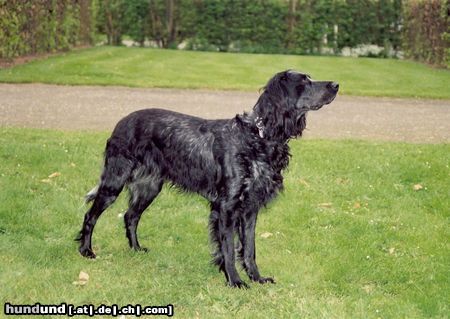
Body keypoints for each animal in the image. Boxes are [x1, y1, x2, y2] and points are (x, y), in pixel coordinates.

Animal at [77, 70, 338, 290]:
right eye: (304, 81)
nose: (336, 84)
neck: (258, 137)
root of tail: (121, 122)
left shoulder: (250, 208)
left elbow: (249, 249)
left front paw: (257, 278)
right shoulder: (226, 207)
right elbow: (229, 249)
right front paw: (235, 281)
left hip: (149, 186)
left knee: (130, 216)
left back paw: (136, 249)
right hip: (114, 181)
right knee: (91, 215)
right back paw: (86, 251)